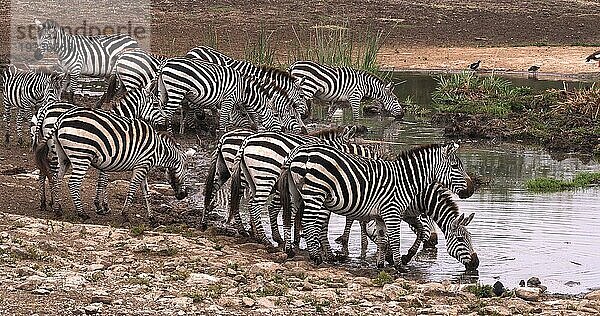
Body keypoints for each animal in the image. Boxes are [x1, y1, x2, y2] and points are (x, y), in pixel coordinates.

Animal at [33, 107, 188, 218]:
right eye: (187, 171)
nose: (184, 195)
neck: (158, 150)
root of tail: (60, 119)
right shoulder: (141, 166)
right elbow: (132, 188)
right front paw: (124, 213)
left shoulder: (144, 167)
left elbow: (146, 192)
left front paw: (151, 218)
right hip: (81, 155)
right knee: (73, 183)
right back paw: (82, 213)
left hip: (63, 156)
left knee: (56, 178)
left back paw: (57, 209)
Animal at [156, 57, 304, 134]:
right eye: (292, 116)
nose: (303, 131)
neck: (245, 89)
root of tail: (165, 64)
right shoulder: (229, 99)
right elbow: (226, 118)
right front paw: (222, 134)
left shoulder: (238, 102)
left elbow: (236, 117)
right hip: (176, 90)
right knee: (167, 112)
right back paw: (169, 134)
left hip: (165, 91)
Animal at [227, 124, 370, 251]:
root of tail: (247, 141)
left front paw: (298, 239)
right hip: (265, 176)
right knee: (252, 205)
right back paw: (264, 239)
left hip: (251, 179)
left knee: (243, 202)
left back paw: (255, 234)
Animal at [278, 143, 476, 270]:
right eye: (455, 166)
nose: (476, 264)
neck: (407, 181)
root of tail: (299, 151)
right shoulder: (393, 212)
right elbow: (396, 238)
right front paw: (399, 264)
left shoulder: (383, 215)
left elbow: (383, 239)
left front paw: (381, 263)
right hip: (316, 193)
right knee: (310, 222)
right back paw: (316, 256)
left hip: (296, 192)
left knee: (290, 216)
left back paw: (290, 250)